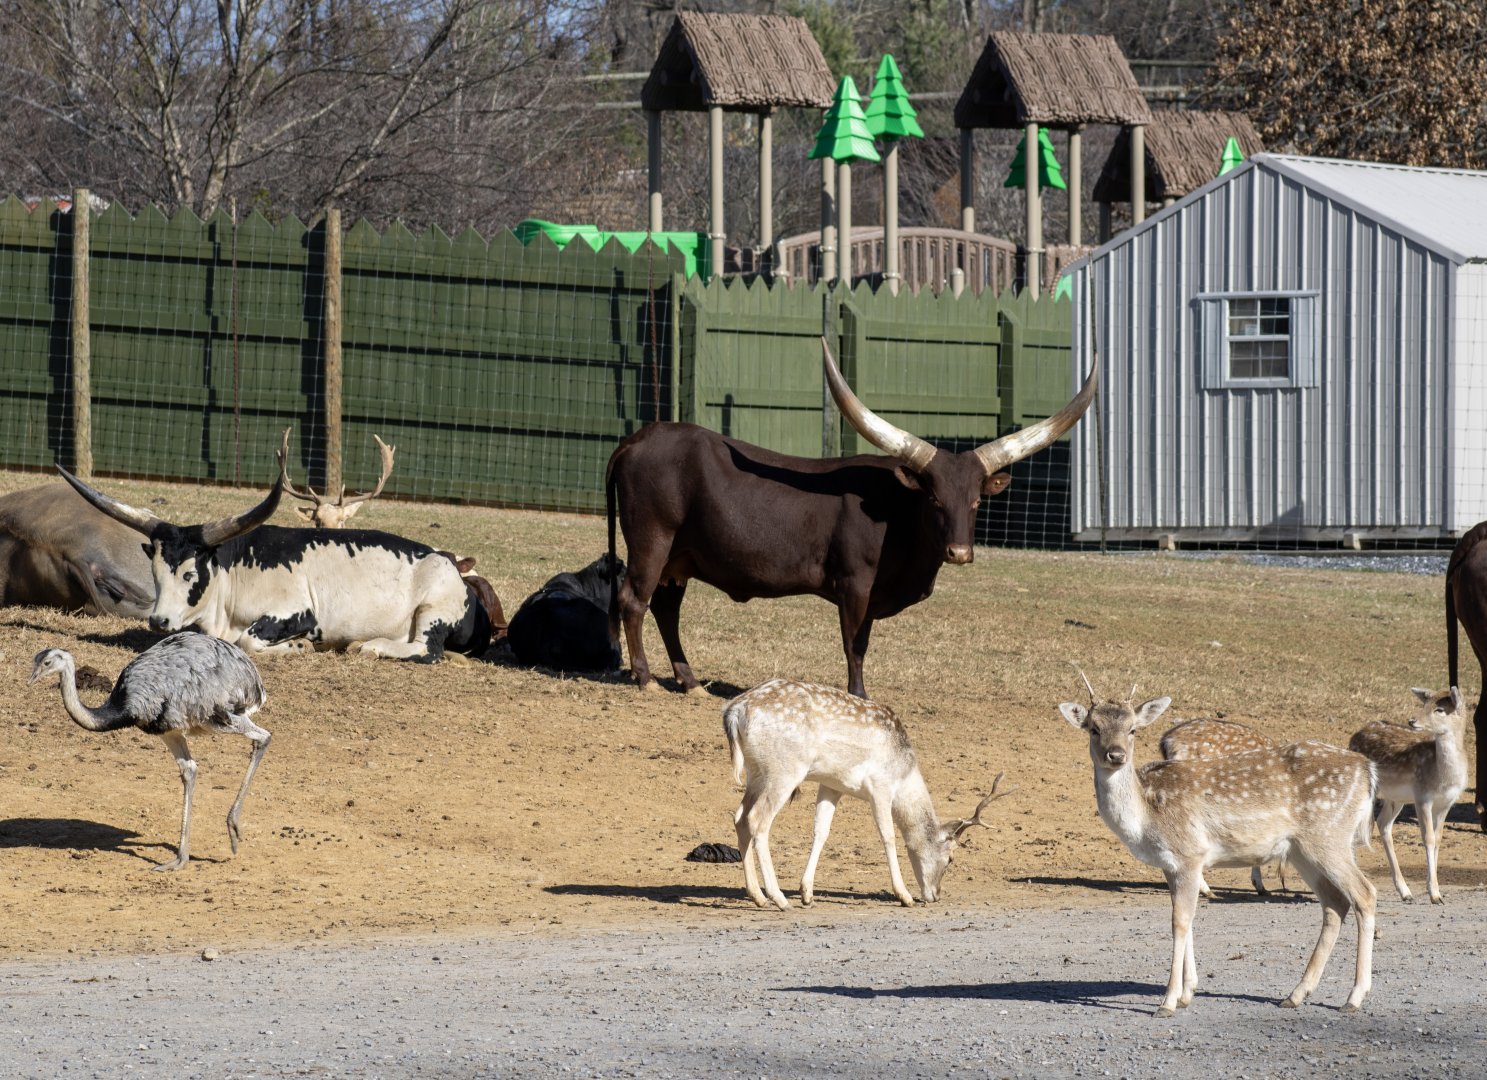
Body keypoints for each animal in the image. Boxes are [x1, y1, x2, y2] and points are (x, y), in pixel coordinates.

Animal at [57, 456, 491, 662]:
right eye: (156, 571)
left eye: (190, 574)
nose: (158, 621)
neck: (234, 572)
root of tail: (453, 567)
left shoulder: (297, 613)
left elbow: (249, 641)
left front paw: (298, 647)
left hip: (433, 609)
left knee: (426, 650)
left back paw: (371, 646)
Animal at [606, 338, 1097, 697]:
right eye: (934, 499)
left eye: (976, 501)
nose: (959, 552)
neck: (897, 512)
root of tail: (637, 439)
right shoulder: (854, 584)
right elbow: (854, 644)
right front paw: (858, 694)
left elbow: (861, 641)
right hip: (652, 540)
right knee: (633, 599)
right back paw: (645, 678)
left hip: (680, 557)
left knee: (665, 608)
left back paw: (689, 681)